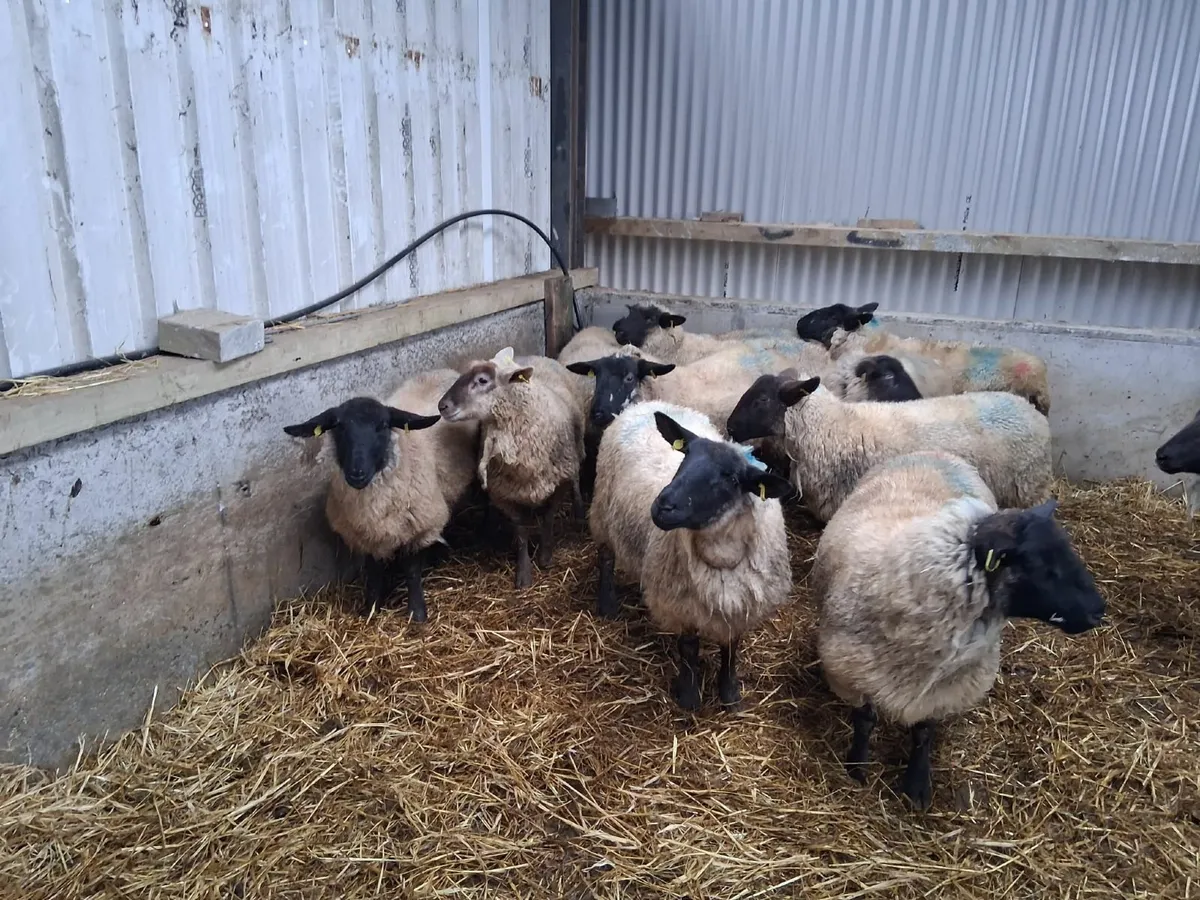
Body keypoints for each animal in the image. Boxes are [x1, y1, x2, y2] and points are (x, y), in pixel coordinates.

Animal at [282, 369, 478, 622]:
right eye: (338, 426)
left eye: (383, 425)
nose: (357, 473)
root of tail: (444, 371)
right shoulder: (366, 534)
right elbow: (373, 572)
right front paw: (371, 608)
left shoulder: (419, 527)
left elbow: (412, 571)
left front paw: (417, 613)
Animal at [438, 353, 585, 589]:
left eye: (482, 380)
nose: (442, 406)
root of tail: (532, 355)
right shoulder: (506, 493)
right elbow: (521, 532)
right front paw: (524, 574)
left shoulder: (559, 483)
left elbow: (548, 518)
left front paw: (545, 556)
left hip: (576, 449)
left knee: (577, 479)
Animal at [589, 400, 794, 710]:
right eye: (684, 457)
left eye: (732, 478)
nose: (662, 506)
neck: (722, 554)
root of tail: (645, 404)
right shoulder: (681, 602)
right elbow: (688, 648)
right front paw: (688, 696)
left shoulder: (741, 602)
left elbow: (732, 647)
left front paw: (730, 695)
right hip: (602, 510)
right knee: (606, 557)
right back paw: (607, 604)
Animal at [812, 449, 1105, 809]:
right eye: (1042, 566)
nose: (1098, 612)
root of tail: (933, 452)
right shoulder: (851, 670)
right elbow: (865, 721)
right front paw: (856, 767)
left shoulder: (946, 688)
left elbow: (924, 731)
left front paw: (917, 785)